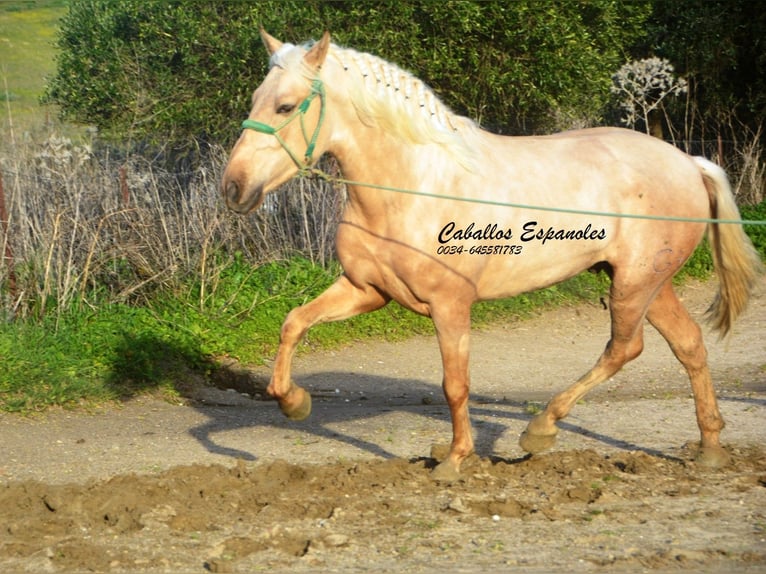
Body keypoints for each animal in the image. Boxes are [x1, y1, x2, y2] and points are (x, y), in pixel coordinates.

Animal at [221, 29, 762, 482]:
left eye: (286, 106)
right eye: (255, 100)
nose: (234, 189)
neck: (413, 185)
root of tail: (688, 161)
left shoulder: (450, 305)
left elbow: (454, 384)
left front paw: (455, 459)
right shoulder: (365, 291)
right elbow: (294, 322)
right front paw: (293, 403)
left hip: (634, 282)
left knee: (624, 349)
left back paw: (540, 430)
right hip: (650, 282)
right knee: (689, 345)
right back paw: (710, 449)